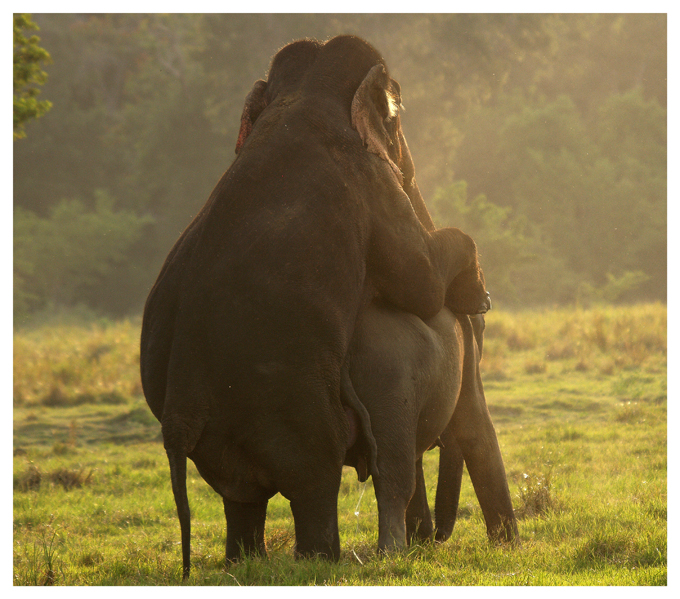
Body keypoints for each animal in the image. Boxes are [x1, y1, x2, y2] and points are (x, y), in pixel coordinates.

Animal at [141, 35, 488, 580]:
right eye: (398, 123)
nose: (482, 302)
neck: (304, 96)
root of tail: (179, 411)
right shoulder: (372, 181)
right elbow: (422, 285)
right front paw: (471, 293)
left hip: (221, 435)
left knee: (240, 495)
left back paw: (246, 561)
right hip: (293, 408)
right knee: (314, 480)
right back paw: (318, 558)